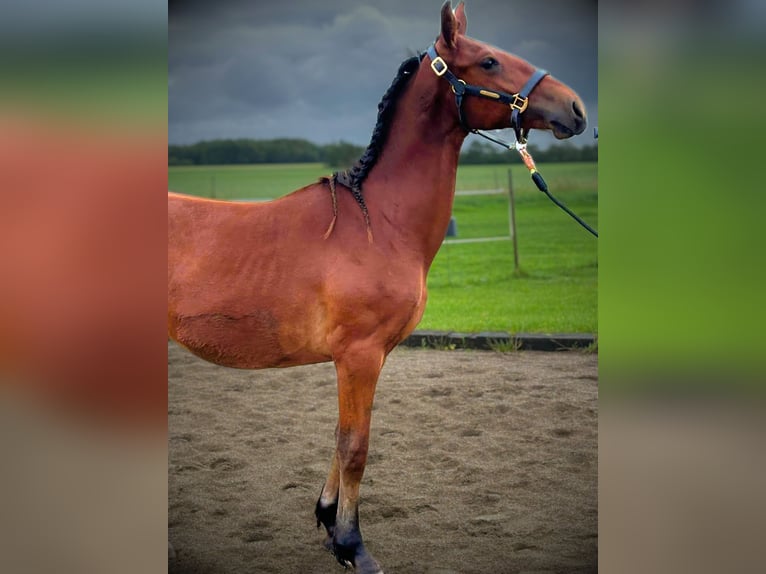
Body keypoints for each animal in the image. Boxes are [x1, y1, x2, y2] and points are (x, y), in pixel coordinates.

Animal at [168, 2, 588, 572]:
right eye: (489, 61)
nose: (576, 107)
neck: (378, 224)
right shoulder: (359, 355)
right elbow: (356, 447)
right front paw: (353, 545)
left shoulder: (371, 356)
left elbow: (340, 435)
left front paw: (329, 523)